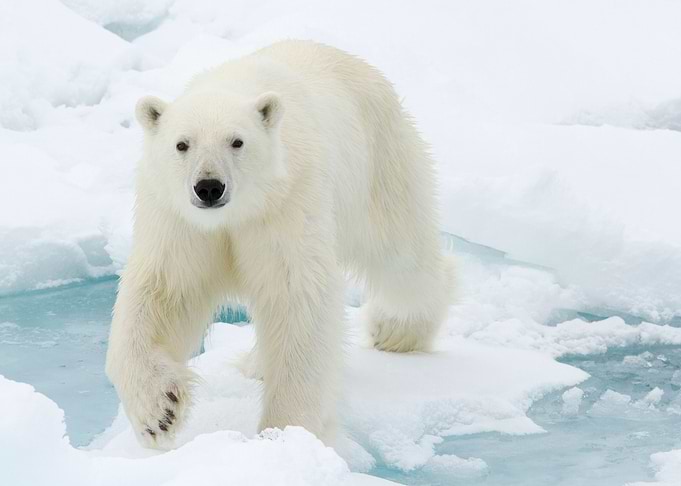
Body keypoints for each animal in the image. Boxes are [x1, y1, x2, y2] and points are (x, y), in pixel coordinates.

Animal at [105, 40, 453, 449]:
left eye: (237, 141)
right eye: (182, 144)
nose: (209, 187)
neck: (237, 213)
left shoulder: (286, 204)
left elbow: (296, 298)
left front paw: (286, 432)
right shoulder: (180, 223)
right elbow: (163, 292)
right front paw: (159, 411)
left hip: (379, 163)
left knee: (401, 256)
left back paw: (396, 330)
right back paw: (257, 363)